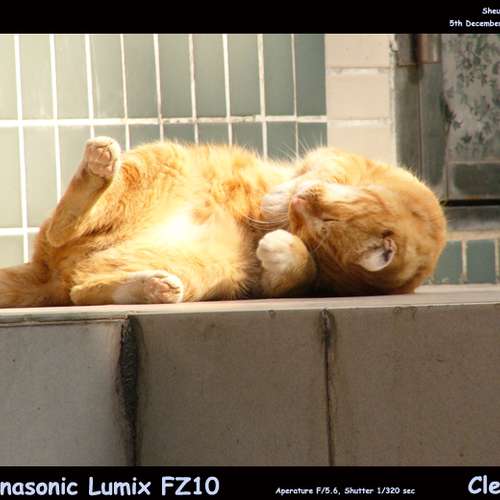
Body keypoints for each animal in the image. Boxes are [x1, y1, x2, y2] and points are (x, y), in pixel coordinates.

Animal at [0, 136, 446, 307]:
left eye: (320, 223)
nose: (299, 203)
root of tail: (46, 272)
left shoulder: (292, 284)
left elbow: (297, 271)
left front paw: (282, 246)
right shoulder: (340, 159)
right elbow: (317, 167)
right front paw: (278, 198)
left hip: (216, 268)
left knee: (82, 290)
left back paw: (154, 287)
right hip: (169, 158)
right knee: (63, 229)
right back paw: (99, 167)